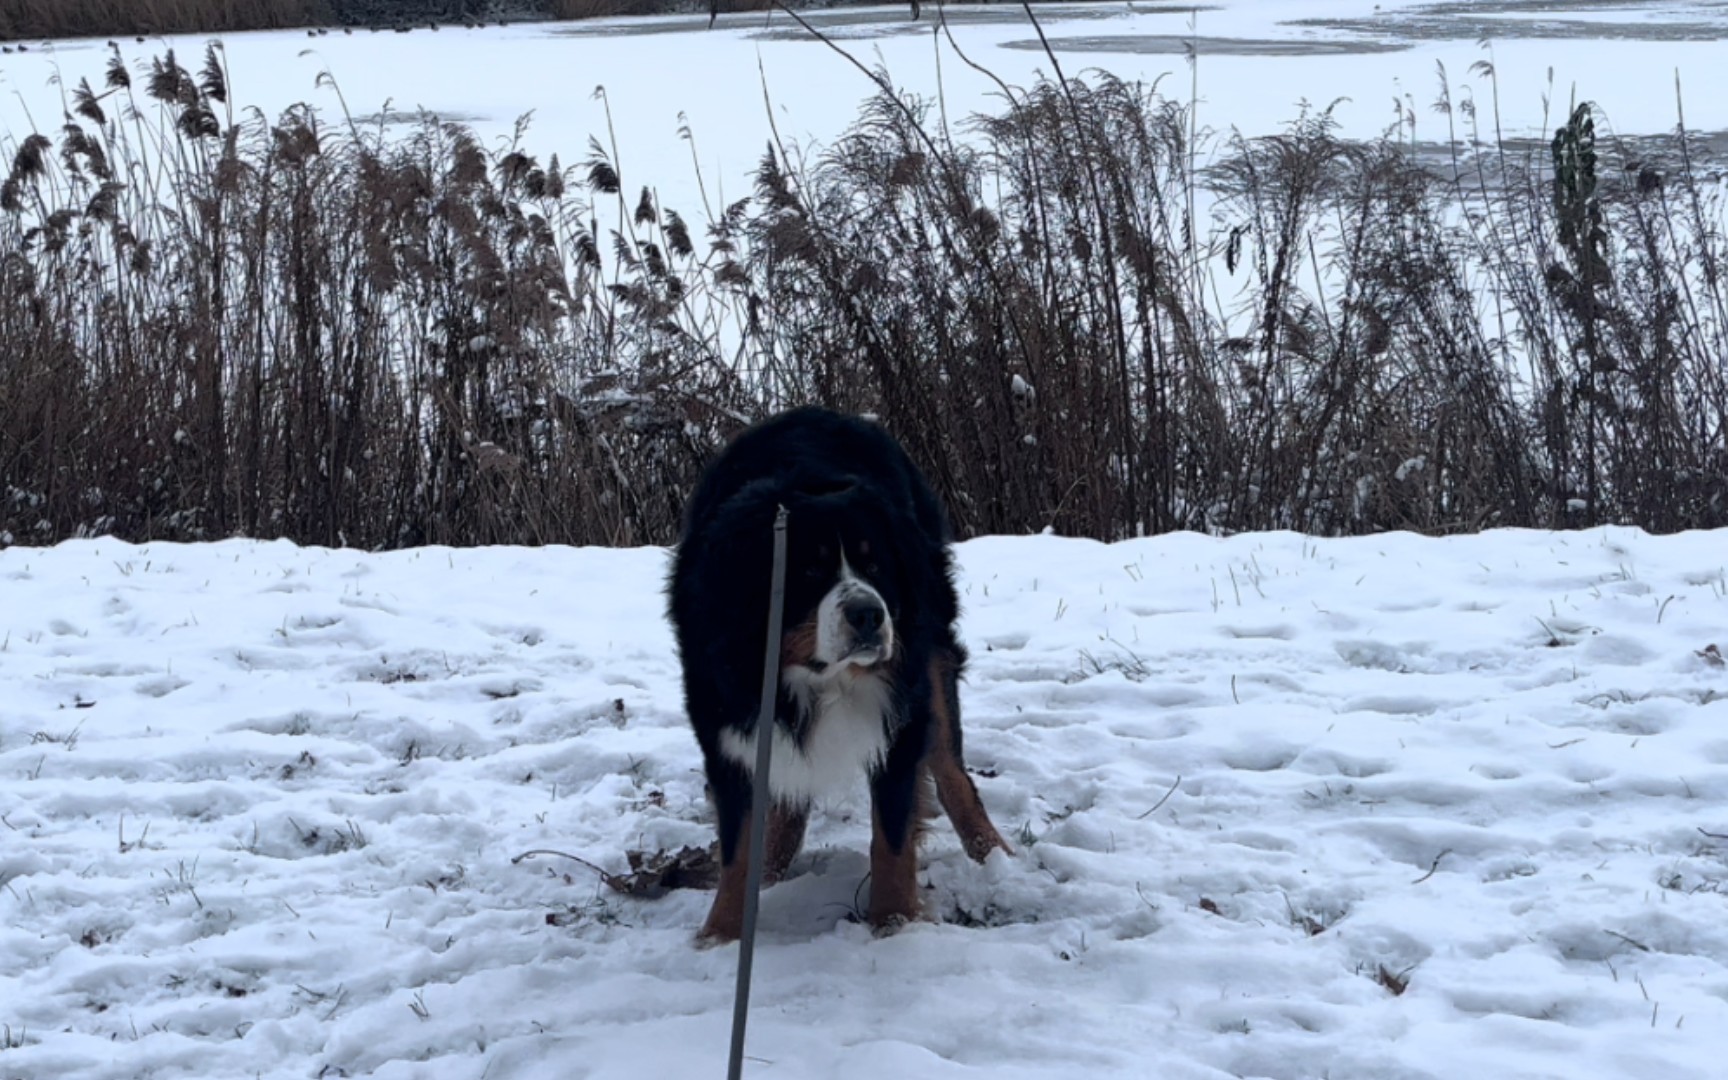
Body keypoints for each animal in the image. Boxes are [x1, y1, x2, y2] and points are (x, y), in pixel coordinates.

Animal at [663, 407, 1009, 940]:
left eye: (876, 564)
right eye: (809, 571)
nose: (868, 614)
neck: (814, 676)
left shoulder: (902, 716)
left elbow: (891, 838)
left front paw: (894, 924)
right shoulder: (727, 729)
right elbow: (738, 848)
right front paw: (721, 936)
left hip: (930, 649)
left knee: (954, 774)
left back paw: (995, 858)